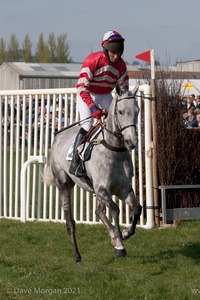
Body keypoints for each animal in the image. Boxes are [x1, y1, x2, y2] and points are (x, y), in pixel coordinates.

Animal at [42, 85, 141, 262]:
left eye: (137, 110)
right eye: (121, 111)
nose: (132, 142)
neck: (114, 149)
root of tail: (57, 135)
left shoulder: (123, 188)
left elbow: (137, 208)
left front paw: (124, 233)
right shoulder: (102, 188)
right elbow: (115, 209)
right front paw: (119, 246)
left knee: (99, 211)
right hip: (63, 185)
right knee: (70, 222)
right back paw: (77, 256)